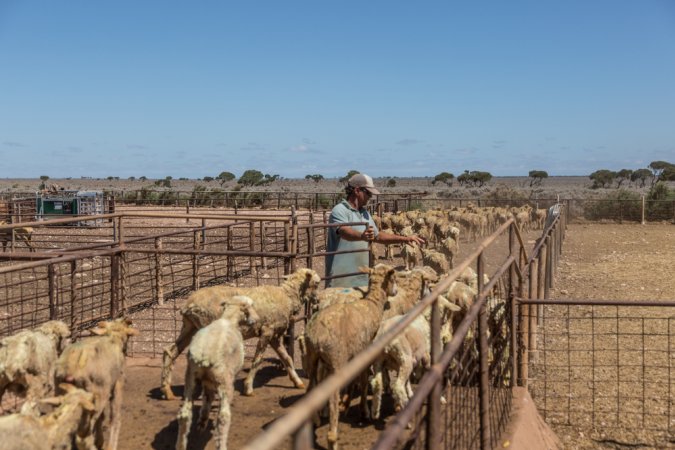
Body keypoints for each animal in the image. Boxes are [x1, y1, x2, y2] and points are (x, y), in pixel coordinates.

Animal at [55, 316, 140, 450]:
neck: (114, 338)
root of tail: (71, 367)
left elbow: (102, 418)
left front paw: (100, 441)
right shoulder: (117, 384)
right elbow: (115, 416)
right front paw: (110, 445)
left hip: (63, 395)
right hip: (96, 397)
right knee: (83, 435)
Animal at [162, 266, 324, 400]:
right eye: (317, 283)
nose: (317, 300)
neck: (287, 297)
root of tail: (188, 305)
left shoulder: (275, 336)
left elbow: (287, 359)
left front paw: (298, 382)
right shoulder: (267, 331)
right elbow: (258, 360)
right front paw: (248, 388)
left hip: (190, 327)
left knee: (171, 351)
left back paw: (167, 392)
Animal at [177, 296, 262, 450]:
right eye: (251, 306)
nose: (257, 319)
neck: (229, 319)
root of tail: (204, 356)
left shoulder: (207, 381)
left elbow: (207, 397)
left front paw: (203, 420)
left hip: (190, 378)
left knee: (184, 414)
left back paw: (180, 445)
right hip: (225, 381)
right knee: (223, 417)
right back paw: (222, 444)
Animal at [304, 264, 398, 450]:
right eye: (393, 277)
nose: (396, 291)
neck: (372, 305)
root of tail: (316, 334)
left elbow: (354, 382)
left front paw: (347, 403)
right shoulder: (364, 353)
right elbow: (363, 381)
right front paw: (364, 411)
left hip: (312, 358)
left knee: (311, 387)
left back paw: (316, 419)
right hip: (336, 359)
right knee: (332, 396)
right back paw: (332, 438)